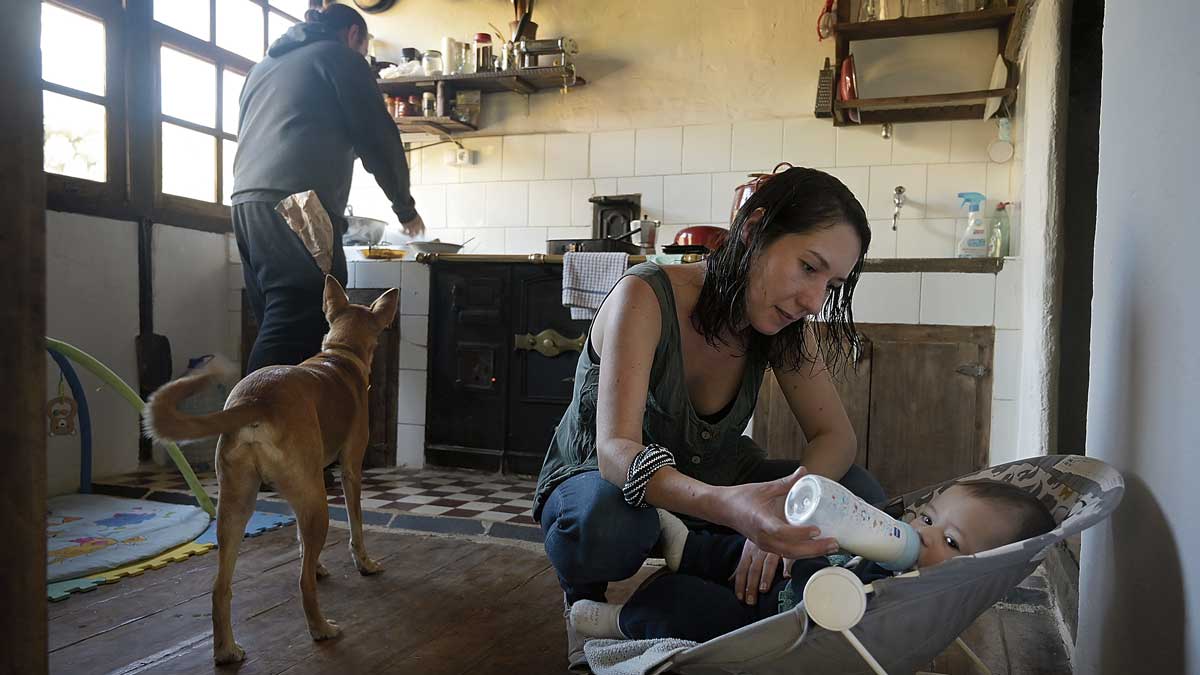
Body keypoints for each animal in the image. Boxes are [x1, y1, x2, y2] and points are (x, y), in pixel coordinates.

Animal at [144, 275, 398, 662]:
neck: (340, 355)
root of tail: (256, 401)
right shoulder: (350, 470)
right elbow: (355, 527)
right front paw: (364, 564)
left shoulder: (300, 493)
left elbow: (301, 542)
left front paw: (317, 563)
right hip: (315, 502)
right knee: (301, 583)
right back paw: (321, 629)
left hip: (237, 506)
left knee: (219, 587)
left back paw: (226, 650)